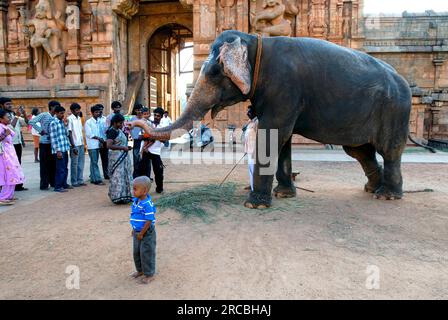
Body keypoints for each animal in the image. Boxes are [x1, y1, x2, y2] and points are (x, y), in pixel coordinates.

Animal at [136, 30, 410, 210]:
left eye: (214, 71)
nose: (135, 125)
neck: (256, 42)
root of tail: (402, 79)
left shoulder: (284, 88)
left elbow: (271, 136)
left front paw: (254, 205)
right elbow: (282, 139)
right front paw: (283, 195)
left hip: (394, 110)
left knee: (389, 150)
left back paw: (387, 196)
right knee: (360, 151)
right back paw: (373, 189)